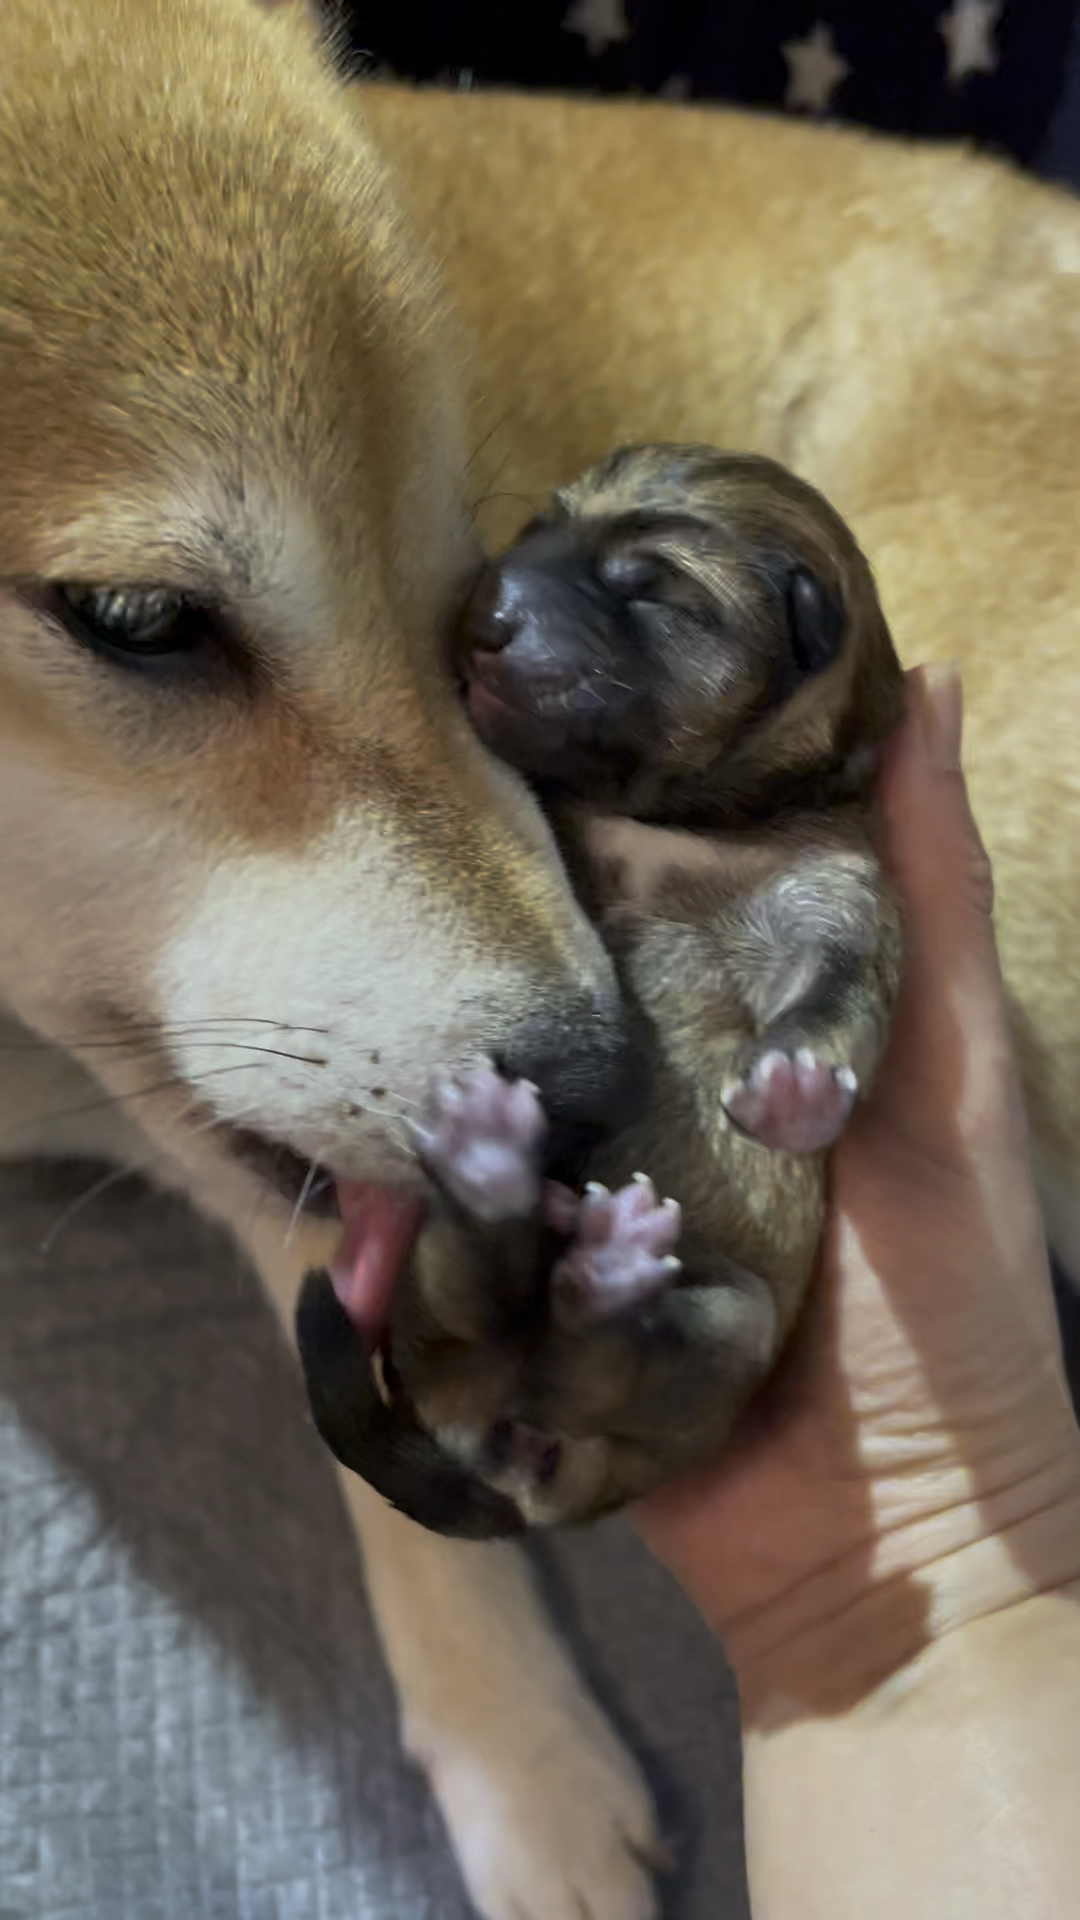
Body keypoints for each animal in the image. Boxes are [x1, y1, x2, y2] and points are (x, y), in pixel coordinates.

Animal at [292, 445, 899, 1528]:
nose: (481, 610)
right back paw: (498, 1174)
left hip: (729, 1334)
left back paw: (596, 1262)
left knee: (590, 1356)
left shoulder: (838, 900)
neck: (675, 821)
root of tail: (503, 1467)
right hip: (443, 1317)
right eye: (542, 524)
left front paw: (793, 1091)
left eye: (650, 587)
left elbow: (839, 998)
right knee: (488, 1301)